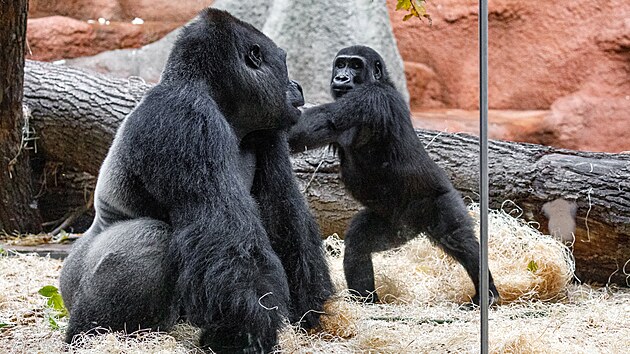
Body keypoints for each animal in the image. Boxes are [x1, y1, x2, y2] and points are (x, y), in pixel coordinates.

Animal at [61, 9, 334, 354]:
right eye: (283, 64)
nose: (297, 86)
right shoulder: (185, 116)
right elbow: (220, 225)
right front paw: (245, 332)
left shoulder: (270, 130)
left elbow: (284, 212)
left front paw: (311, 306)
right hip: (71, 282)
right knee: (150, 237)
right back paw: (94, 334)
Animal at [288, 45, 502, 306]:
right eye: (340, 64)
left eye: (355, 66)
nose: (342, 77)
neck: (380, 81)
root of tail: (416, 227)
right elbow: (299, 134)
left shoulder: (371, 96)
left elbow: (312, 124)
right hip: (397, 226)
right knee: (359, 242)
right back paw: (365, 300)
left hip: (440, 201)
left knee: (460, 239)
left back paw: (487, 292)